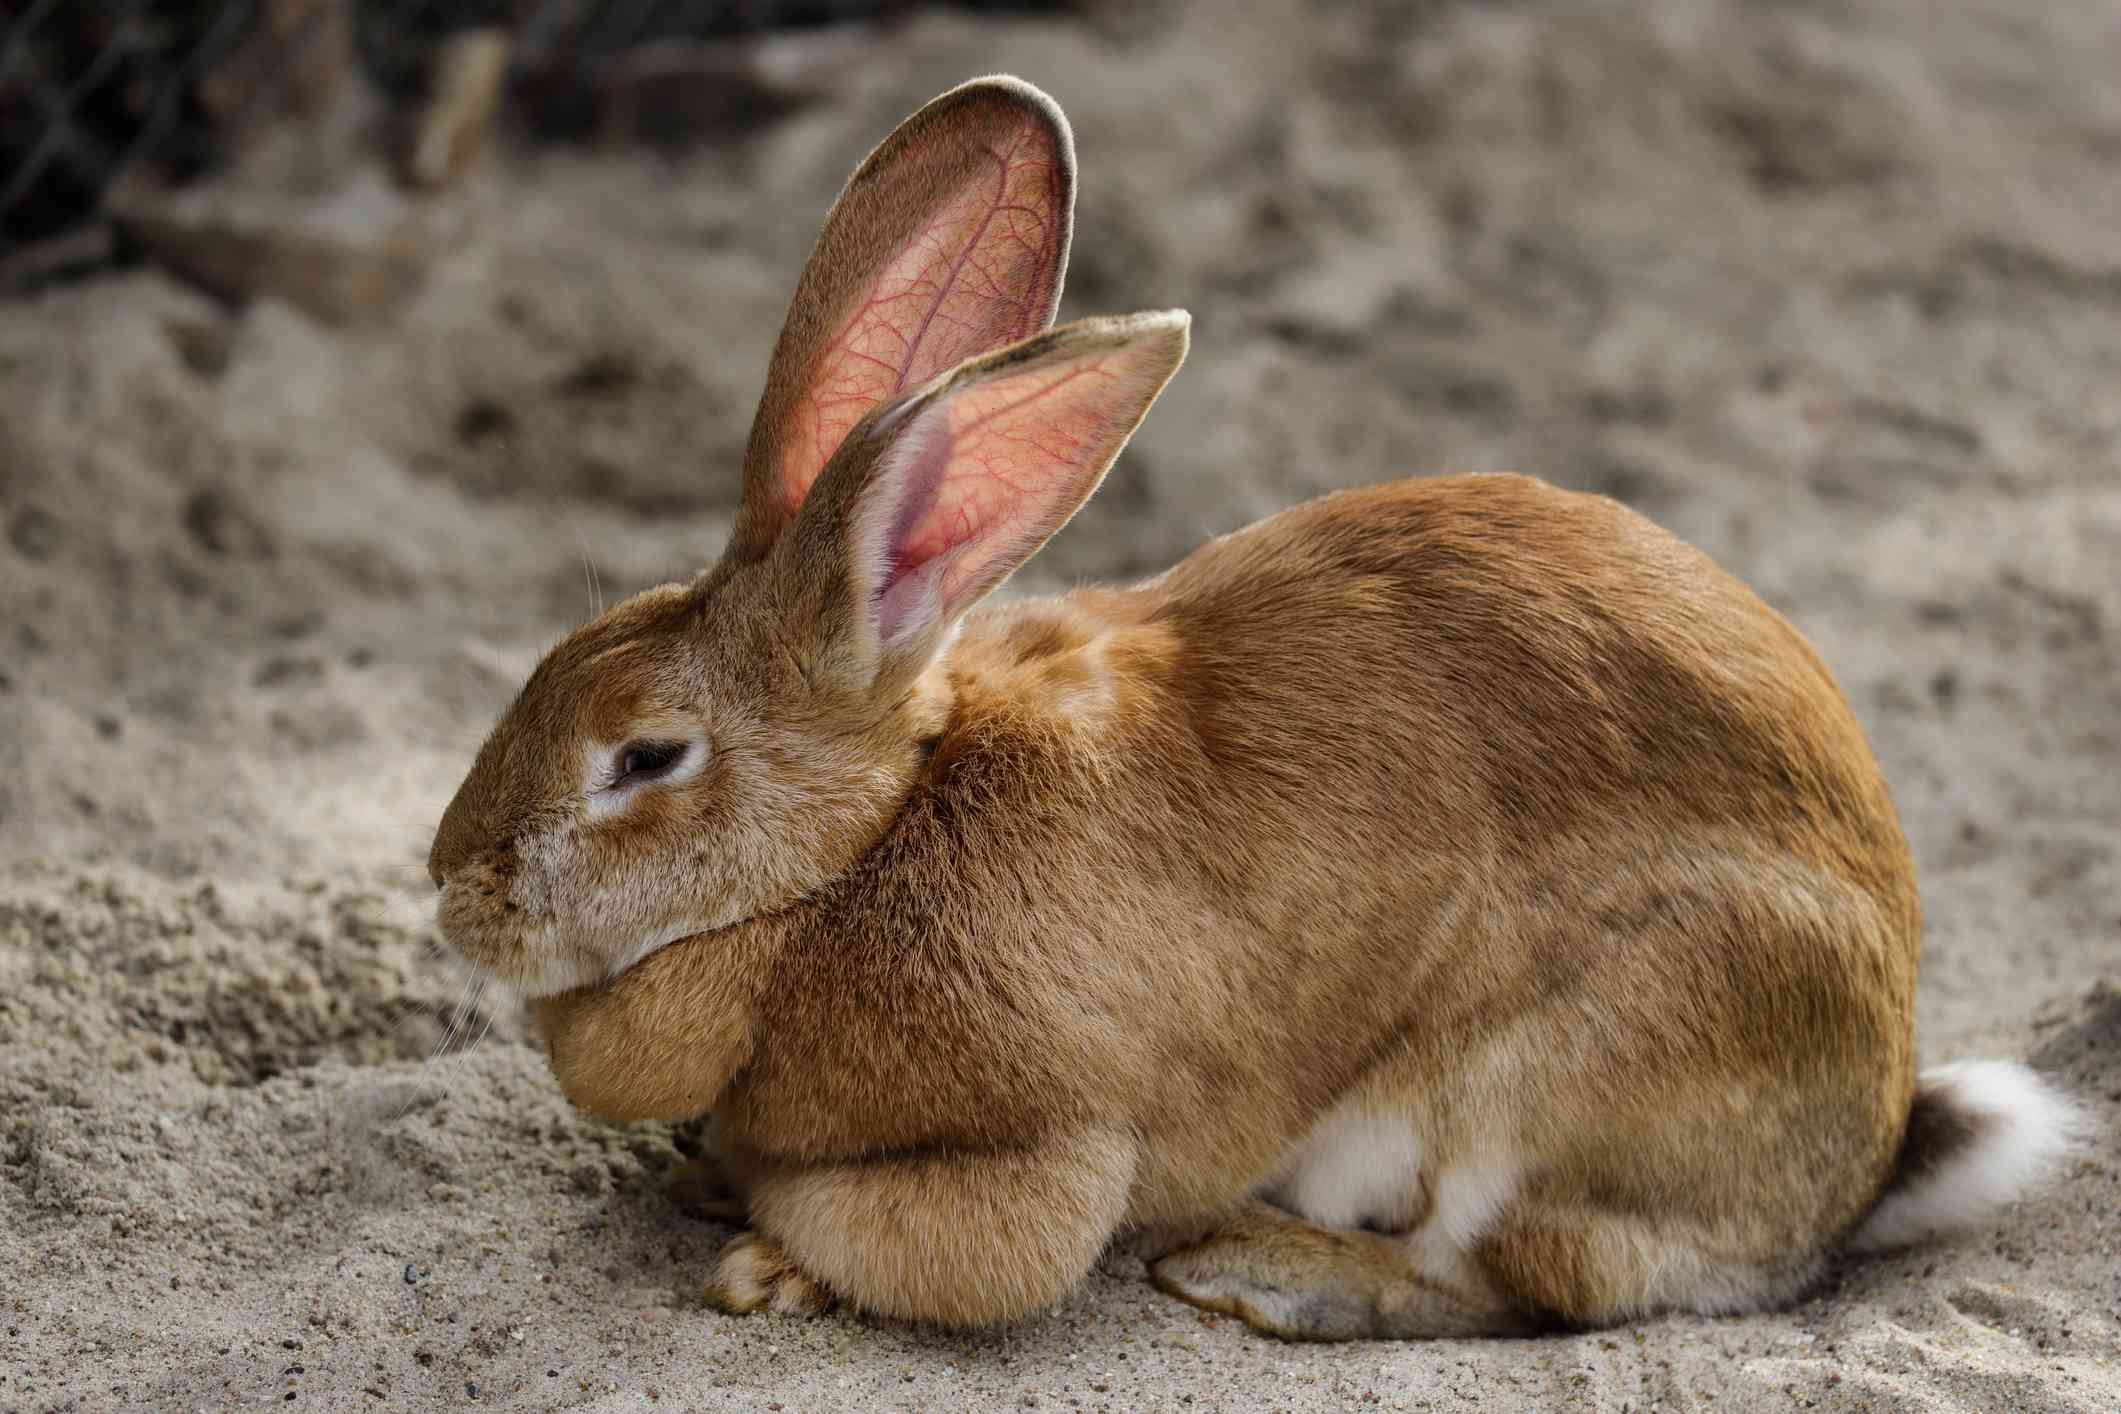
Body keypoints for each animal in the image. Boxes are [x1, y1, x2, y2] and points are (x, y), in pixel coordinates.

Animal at [422, 74, 2078, 1339]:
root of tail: (1865, 1144)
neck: (846, 860)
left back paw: (1270, 1274)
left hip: (1583, 1060)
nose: (454, 890)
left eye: (646, 754)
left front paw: (766, 1262)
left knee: (1521, 1276)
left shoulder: (1042, 1150)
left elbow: (952, 1247)